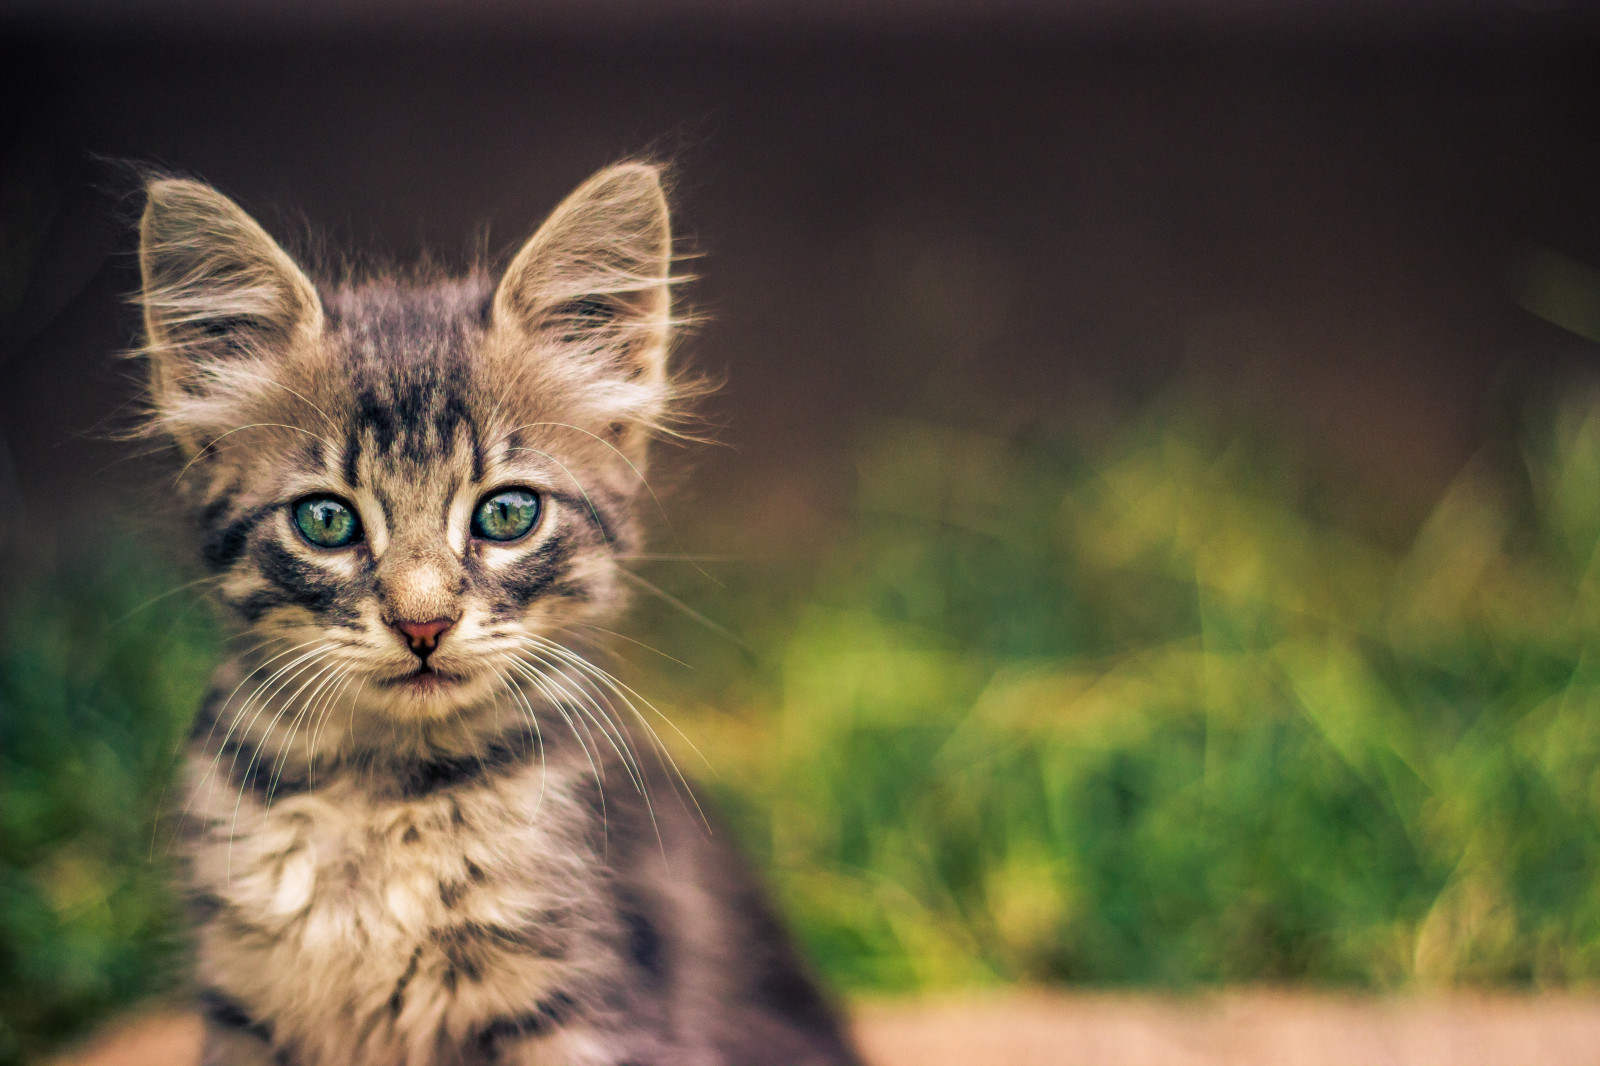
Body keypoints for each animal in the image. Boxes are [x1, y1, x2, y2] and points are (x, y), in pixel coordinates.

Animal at [137, 166, 864, 1062]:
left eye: (508, 514)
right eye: (326, 520)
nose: (421, 625)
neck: (388, 796)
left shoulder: (585, 1005)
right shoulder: (245, 1009)